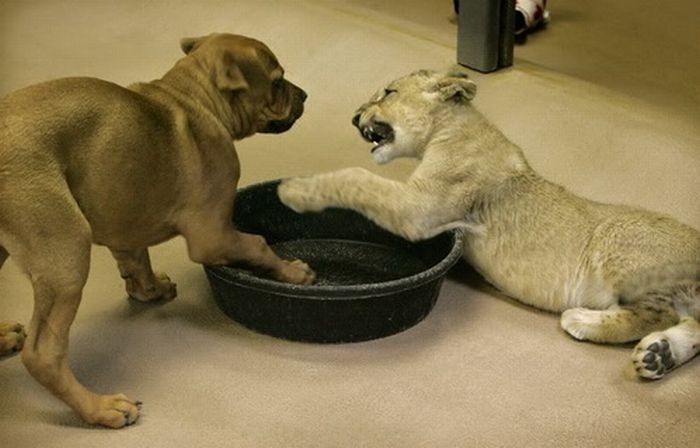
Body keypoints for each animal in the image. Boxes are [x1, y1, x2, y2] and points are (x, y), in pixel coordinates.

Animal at [0, 34, 314, 428]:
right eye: (277, 81)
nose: (305, 95)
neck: (193, 98)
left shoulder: (125, 216)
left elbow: (137, 258)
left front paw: (148, 289)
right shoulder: (212, 237)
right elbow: (257, 244)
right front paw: (293, 272)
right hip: (67, 256)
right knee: (43, 355)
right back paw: (99, 408)